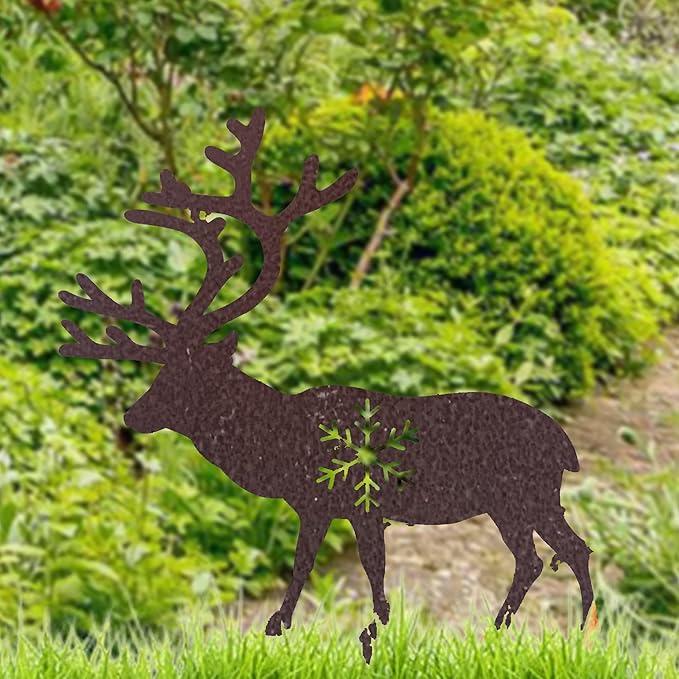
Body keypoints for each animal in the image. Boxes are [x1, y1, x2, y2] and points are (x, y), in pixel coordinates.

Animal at [58, 108, 594, 664]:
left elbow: (353, 567)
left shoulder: (353, 503)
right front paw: (309, 628)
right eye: (160, 372)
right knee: (547, 555)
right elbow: (323, 566)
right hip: (519, 500)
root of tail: (567, 448)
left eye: (186, 377)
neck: (281, 442)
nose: (132, 415)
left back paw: (561, 633)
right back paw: (517, 629)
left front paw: (354, 633)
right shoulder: (317, 505)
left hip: (522, 494)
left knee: (560, 551)